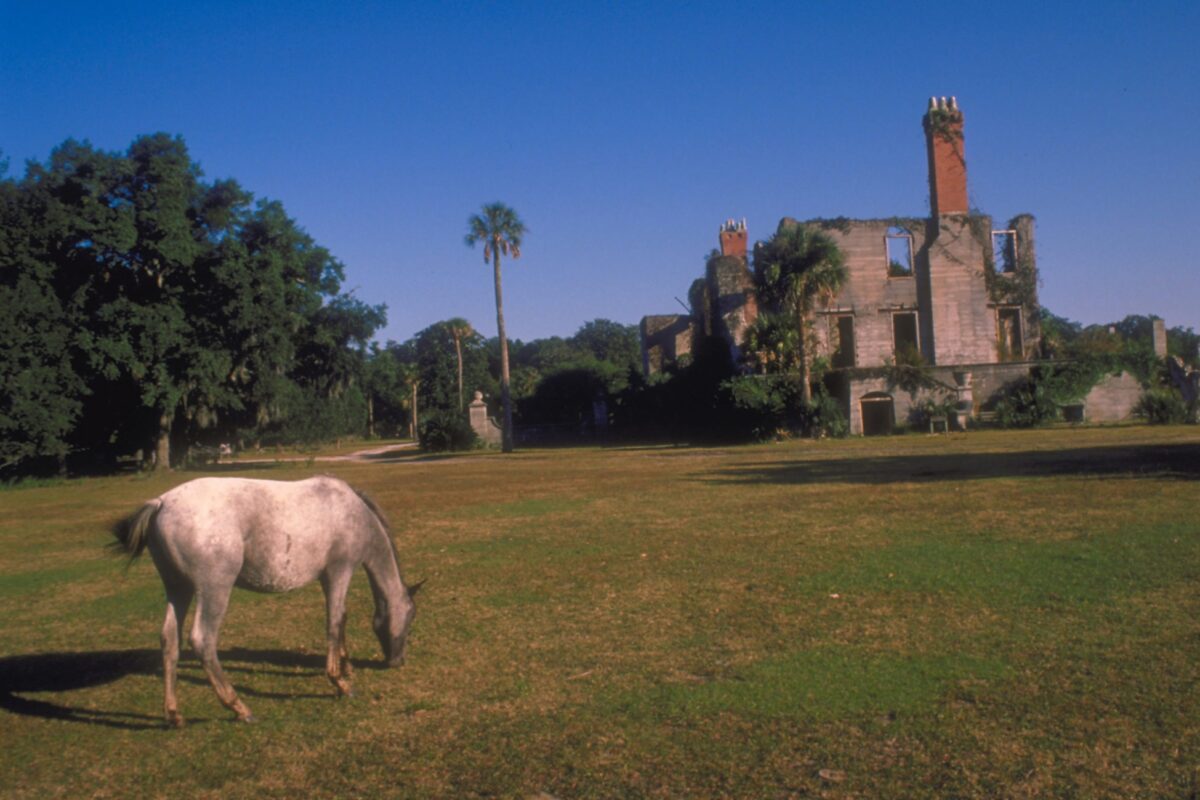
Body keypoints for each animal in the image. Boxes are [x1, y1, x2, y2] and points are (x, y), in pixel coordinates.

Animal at [111, 475, 417, 727]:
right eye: (411, 617)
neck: (352, 510)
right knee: (202, 640)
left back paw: (174, 714)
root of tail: (161, 503)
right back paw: (239, 708)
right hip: (214, 590)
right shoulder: (339, 571)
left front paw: (347, 667)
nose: (398, 661)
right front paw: (340, 682)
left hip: (178, 589)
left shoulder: (328, 579)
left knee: (169, 640)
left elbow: (341, 619)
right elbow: (334, 622)